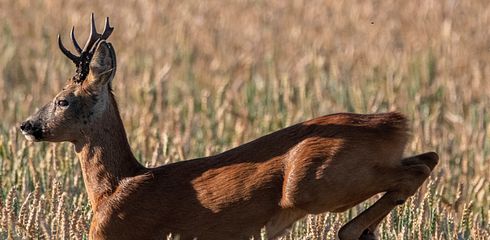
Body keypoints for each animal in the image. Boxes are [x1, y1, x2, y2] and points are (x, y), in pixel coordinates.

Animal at [20, 14, 440, 239]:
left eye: (63, 99)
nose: (27, 125)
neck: (114, 188)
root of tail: (392, 123)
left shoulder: (113, 231)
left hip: (314, 181)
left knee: (414, 169)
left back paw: (354, 230)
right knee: (428, 156)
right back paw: (364, 230)